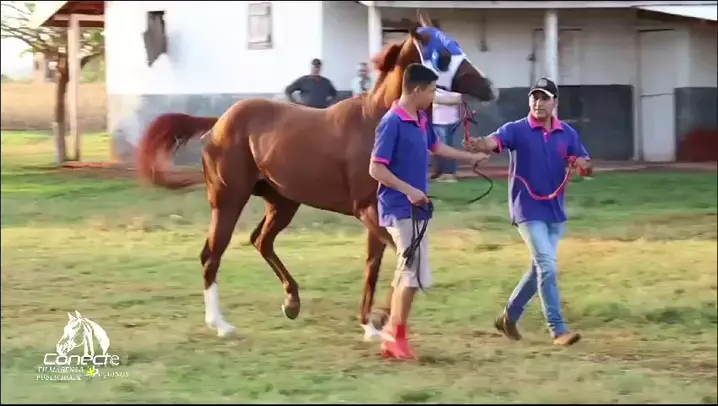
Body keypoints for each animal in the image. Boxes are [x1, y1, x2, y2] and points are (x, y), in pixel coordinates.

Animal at [136, 12, 498, 338]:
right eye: (444, 54)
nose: (488, 86)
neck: (376, 122)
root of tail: (218, 123)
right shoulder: (366, 209)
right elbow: (401, 257)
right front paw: (380, 319)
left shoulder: (382, 213)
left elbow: (374, 265)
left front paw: (370, 324)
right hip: (229, 199)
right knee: (213, 254)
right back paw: (222, 325)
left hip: (282, 201)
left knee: (261, 241)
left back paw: (291, 302)